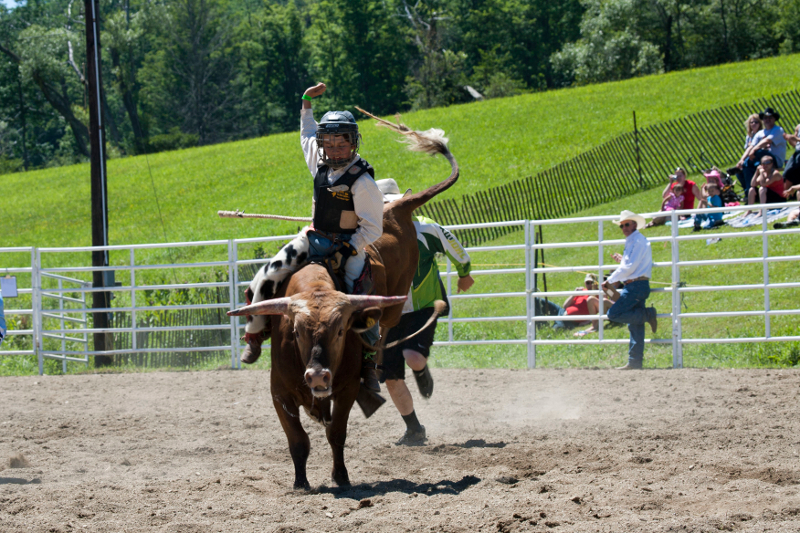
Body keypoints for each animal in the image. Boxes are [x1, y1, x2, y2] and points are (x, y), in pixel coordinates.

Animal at [228, 117, 460, 490]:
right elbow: (297, 440)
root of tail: (395, 208)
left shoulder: (346, 389)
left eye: (340, 332)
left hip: (394, 301)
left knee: (387, 330)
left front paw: (341, 477)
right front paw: (301, 482)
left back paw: (381, 363)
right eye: (296, 330)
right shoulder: (279, 392)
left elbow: (336, 433)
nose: (318, 375)